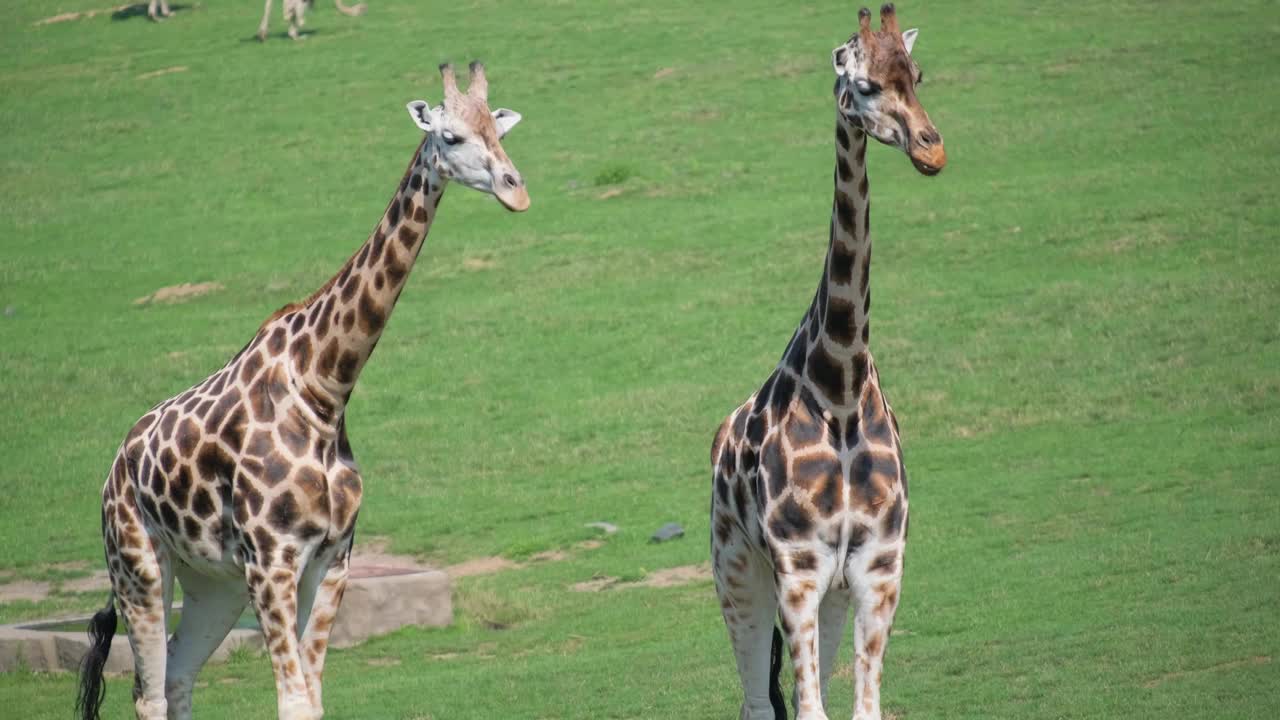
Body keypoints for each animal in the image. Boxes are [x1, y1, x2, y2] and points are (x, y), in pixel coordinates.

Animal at [74, 63, 527, 717]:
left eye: (499, 130)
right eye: (451, 136)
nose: (516, 191)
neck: (324, 387)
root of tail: (115, 467)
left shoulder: (333, 557)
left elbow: (312, 698)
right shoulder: (272, 561)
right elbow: (292, 699)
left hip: (212, 582)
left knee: (180, 675)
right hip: (139, 565)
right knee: (148, 691)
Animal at [716, 7, 947, 717]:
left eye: (917, 74)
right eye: (865, 85)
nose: (931, 148)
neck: (839, 388)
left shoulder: (876, 569)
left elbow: (863, 707)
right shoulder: (797, 568)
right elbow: (810, 706)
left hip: (831, 595)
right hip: (737, 572)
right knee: (757, 702)